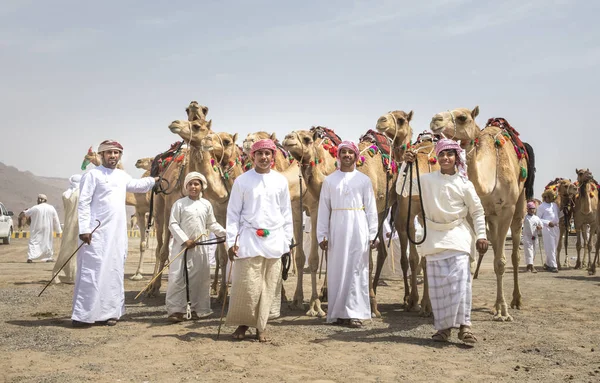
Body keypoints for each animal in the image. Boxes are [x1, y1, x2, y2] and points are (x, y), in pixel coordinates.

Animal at [372, 111, 438, 316]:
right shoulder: (404, 217)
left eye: (401, 120)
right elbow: (409, 259)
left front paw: (421, 303)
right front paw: (412, 300)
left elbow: (419, 258)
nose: (381, 120)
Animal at [428, 107, 536, 320]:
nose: (435, 120)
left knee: (514, 254)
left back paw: (516, 300)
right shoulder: (474, 212)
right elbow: (471, 260)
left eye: (462, 117)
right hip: (491, 217)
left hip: (519, 205)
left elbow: (501, 262)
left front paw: (502, 311)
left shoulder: (506, 209)